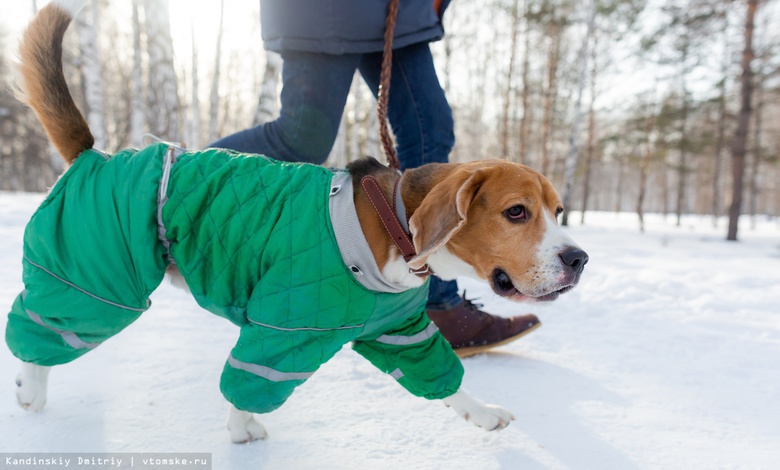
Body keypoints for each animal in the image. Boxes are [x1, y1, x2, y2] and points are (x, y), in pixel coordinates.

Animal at [12, 0, 588, 442]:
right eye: (516, 212)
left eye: (558, 212)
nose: (579, 259)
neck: (395, 225)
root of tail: (97, 156)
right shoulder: (285, 330)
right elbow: (251, 385)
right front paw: (240, 431)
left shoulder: (401, 334)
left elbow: (445, 377)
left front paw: (481, 412)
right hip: (100, 283)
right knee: (37, 325)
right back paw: (29, 386)